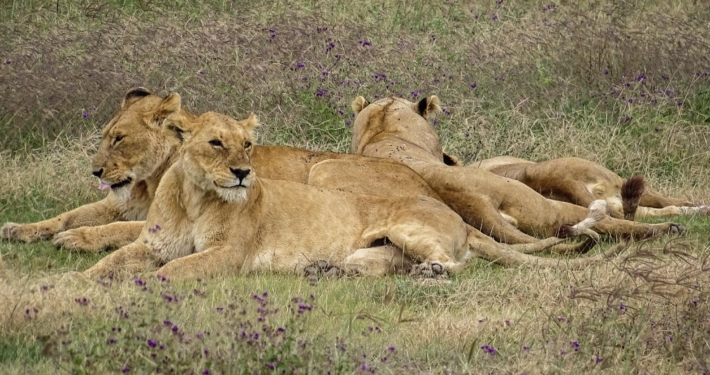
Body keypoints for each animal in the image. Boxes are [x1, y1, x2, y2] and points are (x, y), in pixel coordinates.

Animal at [82, 104, 624, 280]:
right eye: (215, 143)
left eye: (248, 145)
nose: (242, 173)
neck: (194, 199)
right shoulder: (149, 243)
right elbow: (107, 263)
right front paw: (76, 282)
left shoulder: (227, 255)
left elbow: (170, 272)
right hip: (373, 249)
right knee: (380, 266)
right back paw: (327, 270)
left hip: (403, 224)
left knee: (454, 265)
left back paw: (430, 273)